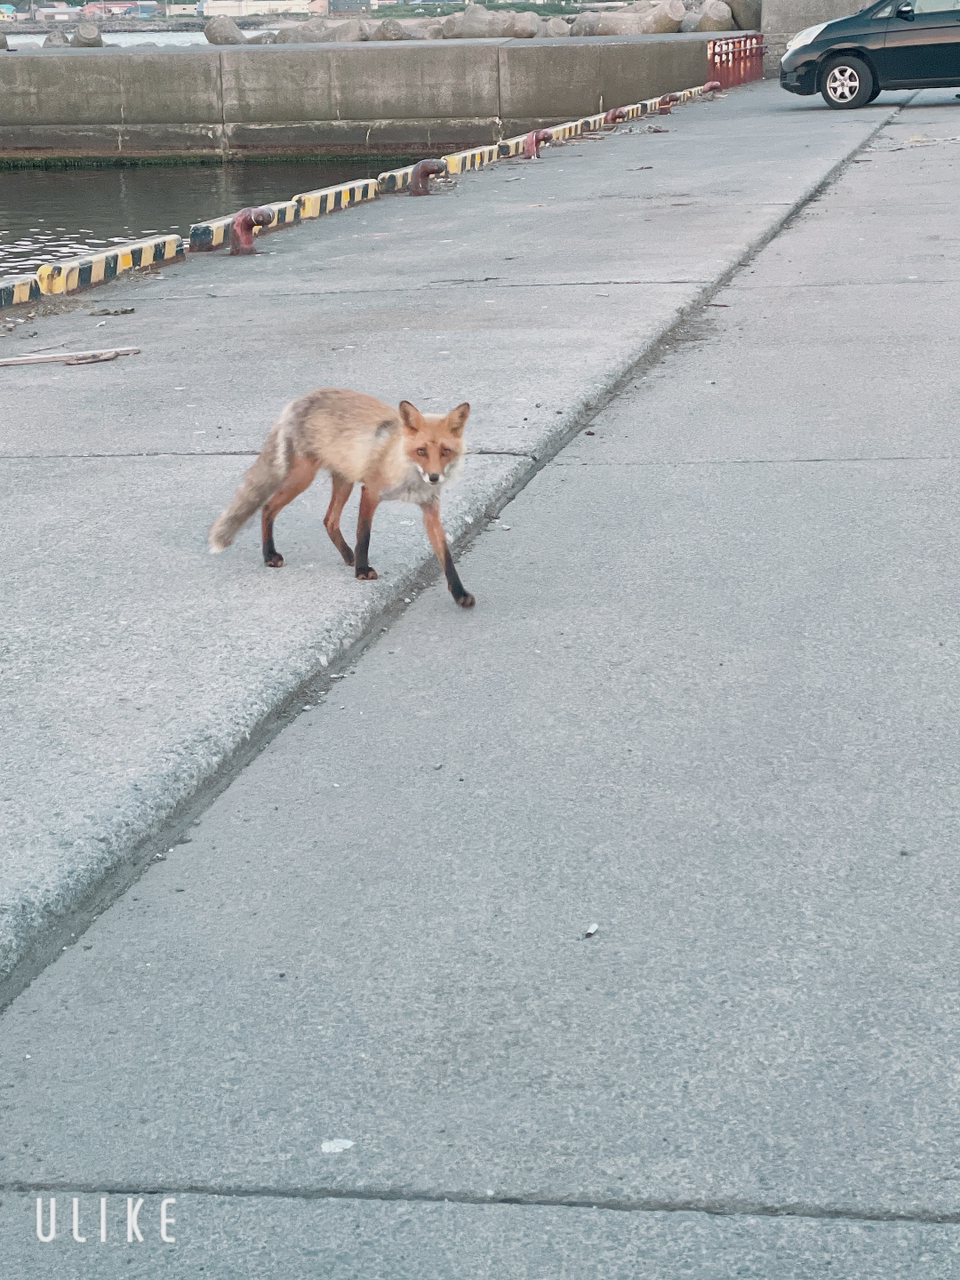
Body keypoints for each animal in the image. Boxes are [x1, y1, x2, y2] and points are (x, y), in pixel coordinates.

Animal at [208, 386, 476, 606]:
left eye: (445, 451)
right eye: (421, 451)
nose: (434, 477)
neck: (407, 472)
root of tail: (302, 399)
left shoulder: (430, 507)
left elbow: (445, 555)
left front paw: (459, 593)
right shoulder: (370, 492)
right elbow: (364, 535)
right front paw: (362, 570)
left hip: (344, 481)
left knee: (329, 520)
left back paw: (348, 555)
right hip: (303, 478)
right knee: (268, 507)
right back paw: (270, 555)